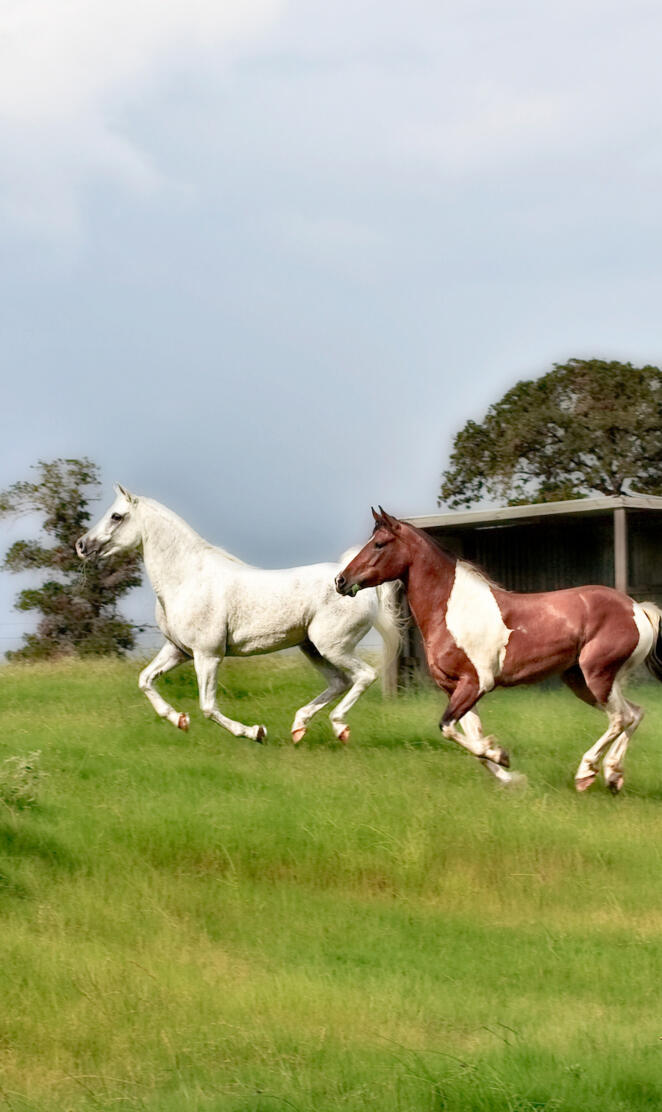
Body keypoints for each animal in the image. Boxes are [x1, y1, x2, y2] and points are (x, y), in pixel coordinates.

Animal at [76, 487, 401, 744]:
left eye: (117, 516)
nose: (81, 545)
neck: (186, 579)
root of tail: (354, 584)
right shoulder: (178, 650)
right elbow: (145, 680)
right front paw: (179, 719)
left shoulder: (207, 654)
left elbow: (208, 707)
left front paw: (255, 732)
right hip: (313, 648)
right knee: (339, 682)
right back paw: (298, 728)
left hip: (333, 646)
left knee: (363, 676)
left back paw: (339, 727)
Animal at [335, 507, 662, 791]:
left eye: (379, 544)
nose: (341, 581)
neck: (453, 610)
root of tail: (637, 609)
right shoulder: (456, 689)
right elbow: (471, 740)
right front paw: (511, 779)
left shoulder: (476, 683)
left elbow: (448, 728)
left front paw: (501, 755)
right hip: (583, 681)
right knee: (634, 714)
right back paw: (612, 776)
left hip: (597, 675)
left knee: (620, 718)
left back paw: (586, 773)